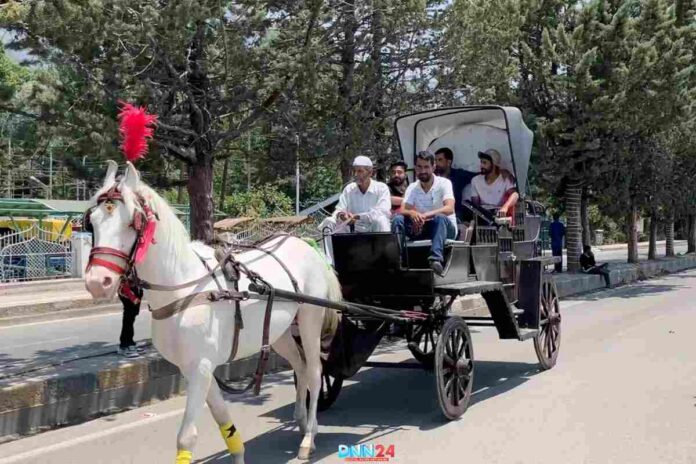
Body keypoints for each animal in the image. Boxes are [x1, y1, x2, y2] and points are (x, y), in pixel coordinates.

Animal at [84, 161, 342, 462]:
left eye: (130, 223)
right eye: (93, 222)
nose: (97, 282)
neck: (183, 287)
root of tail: (308, 247)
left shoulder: (201, 367)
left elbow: (186, 437)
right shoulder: (194, 369)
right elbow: (222, 419)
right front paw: (238, 452)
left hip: (311, 319)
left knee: (314, 370)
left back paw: (309, 436)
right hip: (280, 333)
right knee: (299, 366)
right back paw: (302, 420)